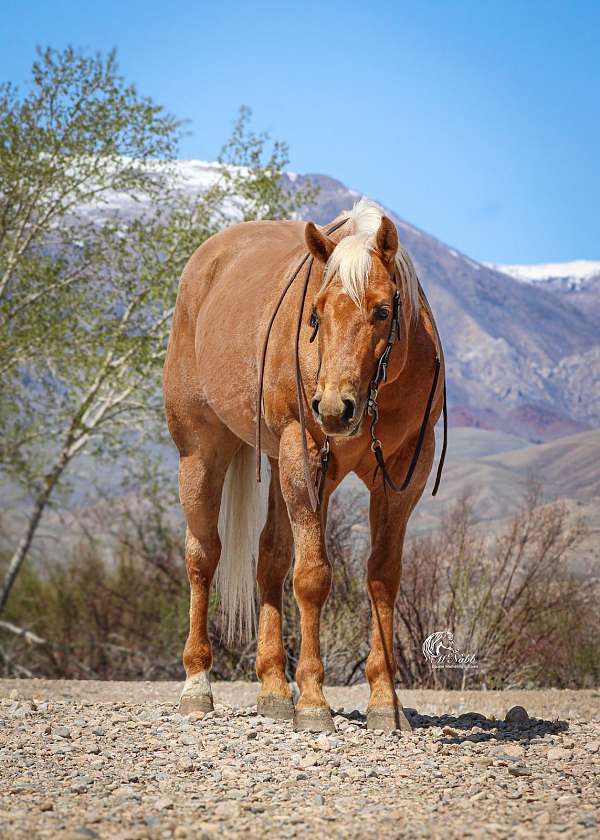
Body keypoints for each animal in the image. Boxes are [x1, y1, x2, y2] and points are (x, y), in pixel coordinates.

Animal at [163, 198, 445, 733]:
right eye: (316, 311)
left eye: (382, 310)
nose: (334, 409)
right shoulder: (306, 455)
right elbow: (313, 577)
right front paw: (313, 701)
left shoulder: (402, 475)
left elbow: (382, 577)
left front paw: (385, 702)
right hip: (202, 452)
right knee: (202, 557)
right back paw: (197, 687)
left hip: (278, 464)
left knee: (270, 559)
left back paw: (274, 690)